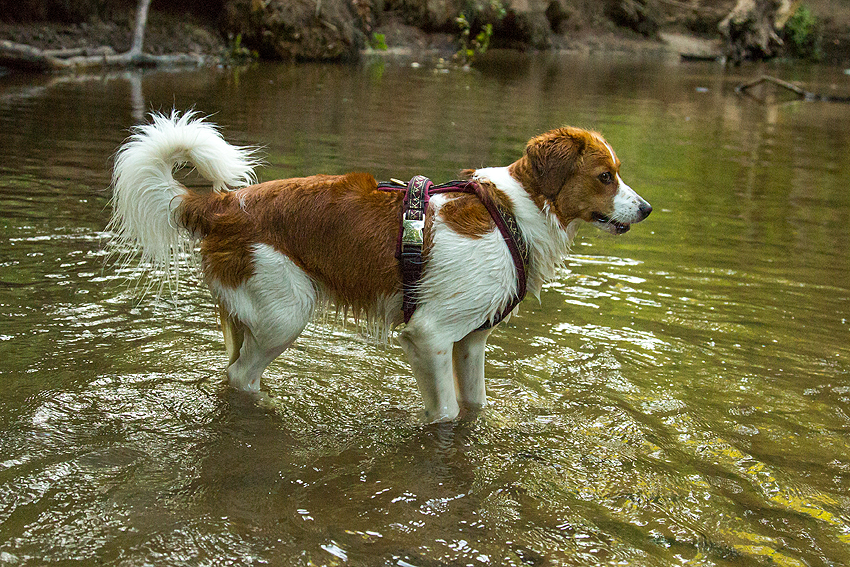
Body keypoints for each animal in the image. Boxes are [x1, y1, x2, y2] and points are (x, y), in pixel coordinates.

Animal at [107, 112, 648, 422]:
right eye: (605, 176)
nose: (644, 209)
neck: (515, 214)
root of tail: (221, 204)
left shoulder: (471, 341)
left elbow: (474, 405)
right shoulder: (430, 334)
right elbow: (446, 413)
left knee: (231, 371)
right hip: (286, 313)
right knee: (241, 378)